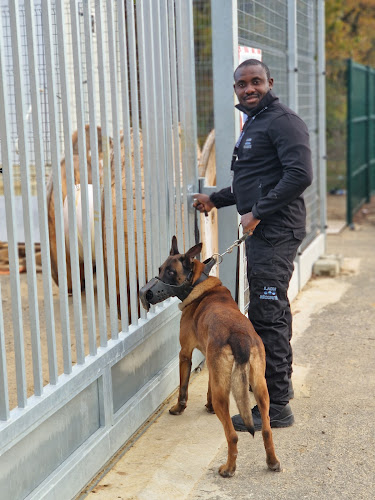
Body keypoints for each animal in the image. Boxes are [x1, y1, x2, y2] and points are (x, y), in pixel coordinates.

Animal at [140, 236, 280, 478]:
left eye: (170, 272)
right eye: (160, 269)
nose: (147, 292)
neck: (198, 282)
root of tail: (241, 338)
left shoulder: (185, 354)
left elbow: (183, 387)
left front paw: (178, 409)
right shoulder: (212, 366)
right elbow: (206, 385)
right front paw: (207, 405)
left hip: (224, 396)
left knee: (232, 436)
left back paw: (228, 468)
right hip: (260, 389)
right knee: (266, 430)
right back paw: (272, 462)